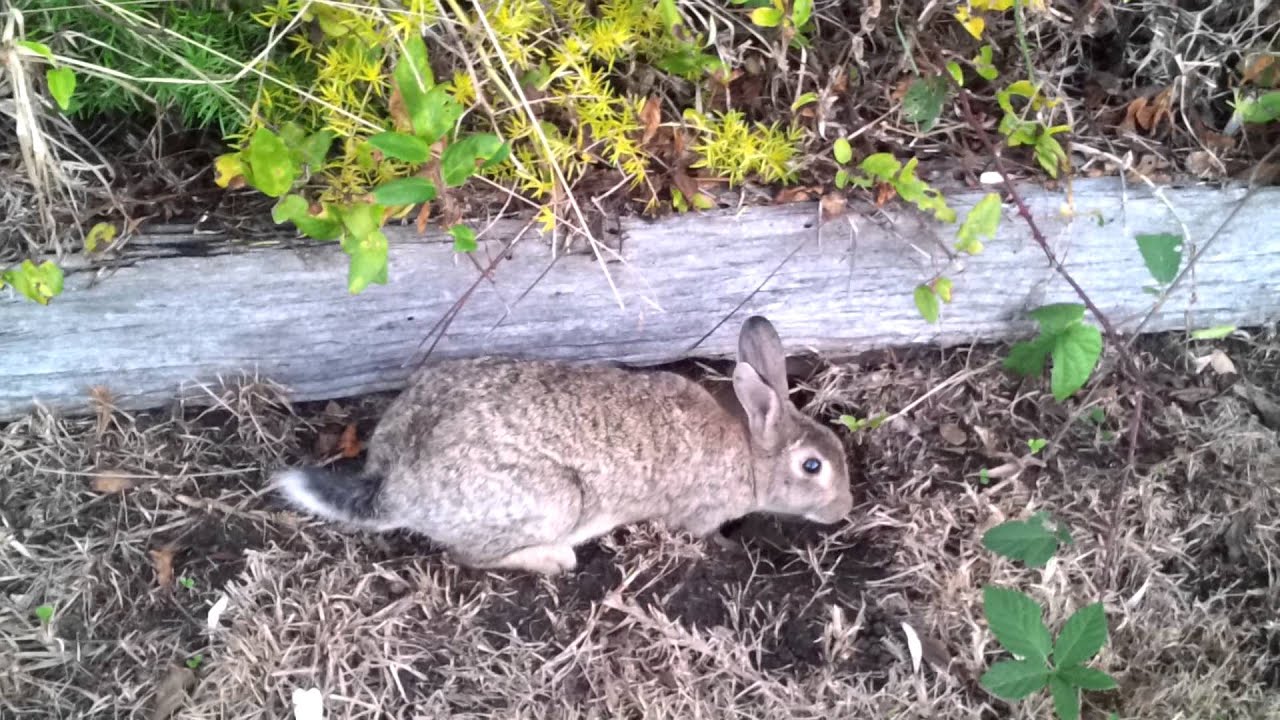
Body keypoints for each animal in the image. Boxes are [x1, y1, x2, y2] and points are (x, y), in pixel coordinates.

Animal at [272, 316, 852, 575]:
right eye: (812, 466)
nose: (844, 508)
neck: (750, 450)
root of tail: (393, 488)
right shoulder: (699, 513)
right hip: (554, 499)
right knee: (471, 555)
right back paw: (555, 559)